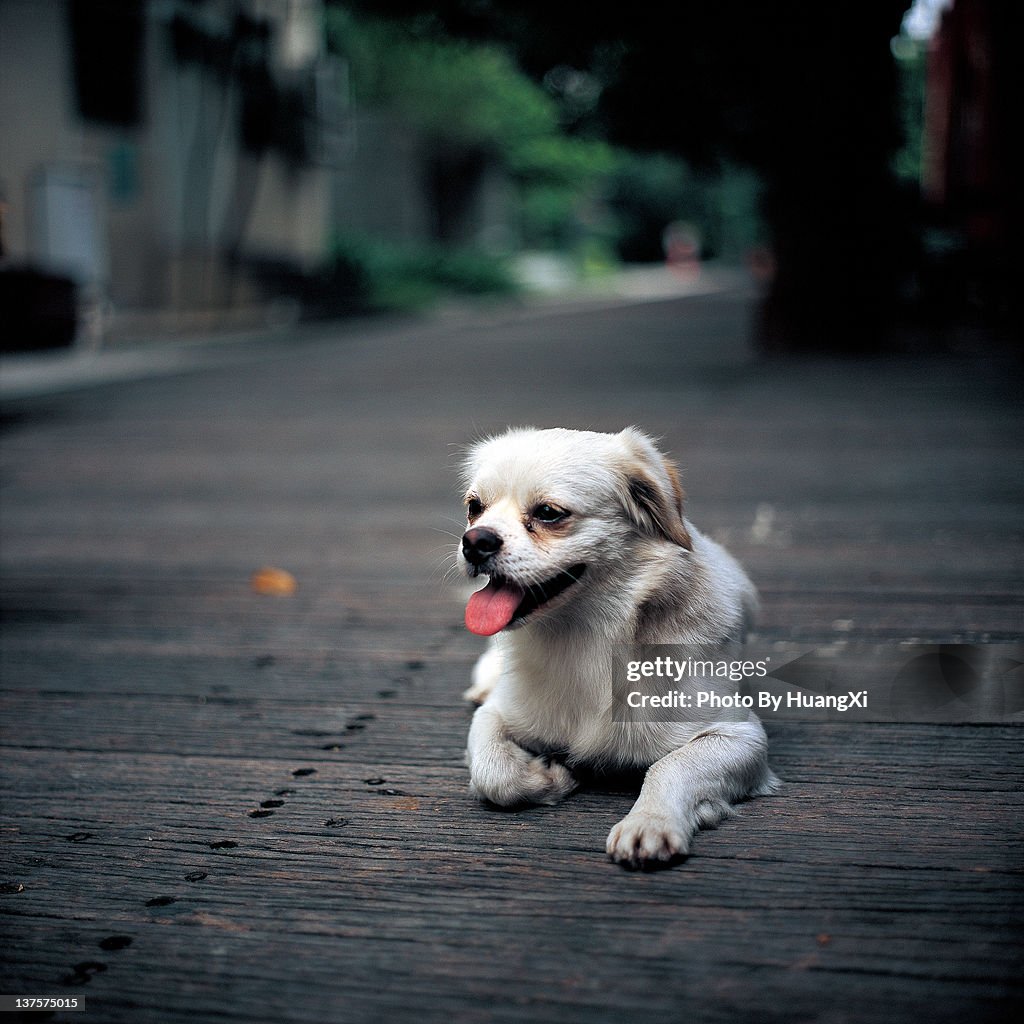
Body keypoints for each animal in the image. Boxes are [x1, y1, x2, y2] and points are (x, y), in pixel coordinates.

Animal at [456, 423, 774, 864]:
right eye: (474, 507)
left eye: (548, 513)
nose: (474, 541)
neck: (587, 638)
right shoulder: (500, 712)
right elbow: (492, 771)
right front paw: (548, 778)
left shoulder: (739, 735)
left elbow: (672, 766)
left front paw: (649, 824)